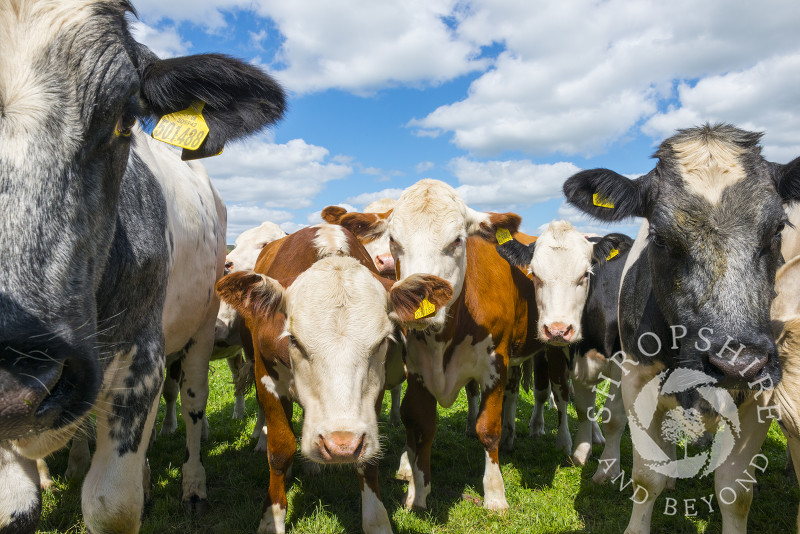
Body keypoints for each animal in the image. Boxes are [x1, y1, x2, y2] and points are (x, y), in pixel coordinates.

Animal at [0, 2, 286, 532]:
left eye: (126, 118)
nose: (13, 386)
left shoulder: (142, 362)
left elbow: (112, 505)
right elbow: (15, 509)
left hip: (198, 331)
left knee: (193, 403)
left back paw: (192, 486)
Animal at [214, 225, 450, 534]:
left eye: (381, 342)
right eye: (294, 340)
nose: (341, 445)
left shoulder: (370, 399)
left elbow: (367, 462)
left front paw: (376, 520)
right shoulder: (267, 379)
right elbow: (280, 450)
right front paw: (271, 519)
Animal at [340, 181, 540, 516]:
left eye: (457, 240)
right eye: (393, 240)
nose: (417, 294)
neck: (445, 334)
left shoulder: (496, 363)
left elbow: (490, 428)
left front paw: (495, 495)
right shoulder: (418, 372)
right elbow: (422, 426)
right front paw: (418, 490)